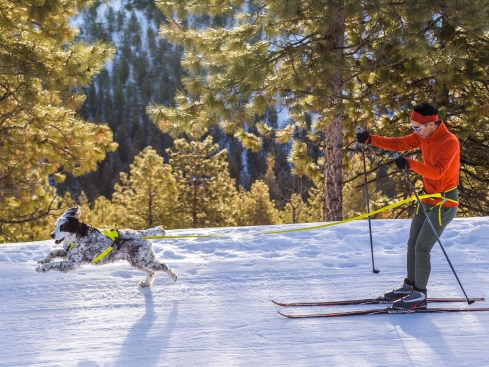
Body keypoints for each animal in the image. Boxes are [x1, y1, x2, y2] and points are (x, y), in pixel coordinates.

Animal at [36, 207, 177, 288]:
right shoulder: (68, 254)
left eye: (63, 227)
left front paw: (43, 268)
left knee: (163, 266)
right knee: (151, 272)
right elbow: (53, 252)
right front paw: (43, 261)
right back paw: (146, 284)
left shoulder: (72, 263)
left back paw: (174, 277)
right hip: (136, 261)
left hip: (144, 260)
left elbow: (55, 264)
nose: (51, 235)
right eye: (55, 226)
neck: (77, 237)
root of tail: (142, 234)